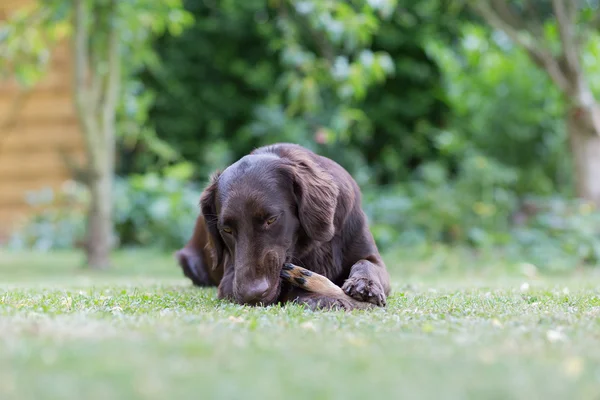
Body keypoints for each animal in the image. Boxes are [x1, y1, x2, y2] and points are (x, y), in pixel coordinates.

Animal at [175, 142, 390, 310]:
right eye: (226, 229)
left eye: (271, 219)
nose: (251, 295)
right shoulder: (229, 281)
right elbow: (289, 288)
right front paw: (322, 297)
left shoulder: (369, 254)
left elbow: (366, 263)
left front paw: (365, 285)